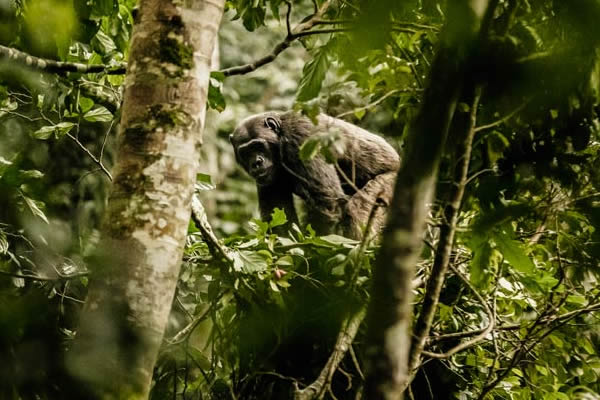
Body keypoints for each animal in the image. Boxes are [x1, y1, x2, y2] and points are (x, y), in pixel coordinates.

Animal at [230, 111, 398, 239]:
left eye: (257, 146)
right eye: (246, 152)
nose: (256, 162)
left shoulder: (302, 138)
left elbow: (326, 203)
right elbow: (279, 215)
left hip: (390, 182)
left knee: (358, 209)